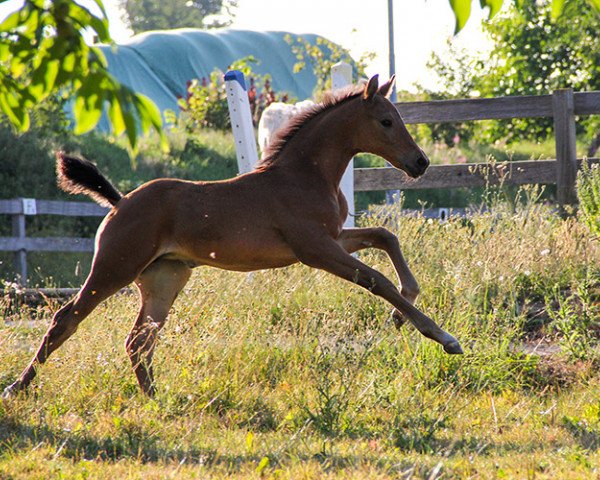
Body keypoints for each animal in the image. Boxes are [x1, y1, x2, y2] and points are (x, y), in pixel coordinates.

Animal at [4, 75, 462, 398]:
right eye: (386, 121)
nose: (420, 162)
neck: (304, 175)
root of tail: (119, 202)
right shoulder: (315, 249)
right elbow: (376, 280)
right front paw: (441, 336)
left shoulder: (332, 238)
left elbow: (386, 237)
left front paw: (405, 312)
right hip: (114, 267)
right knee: (66, 320)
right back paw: (17, 388)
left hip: (165, 278)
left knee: (138, 340)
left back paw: (156, 398)